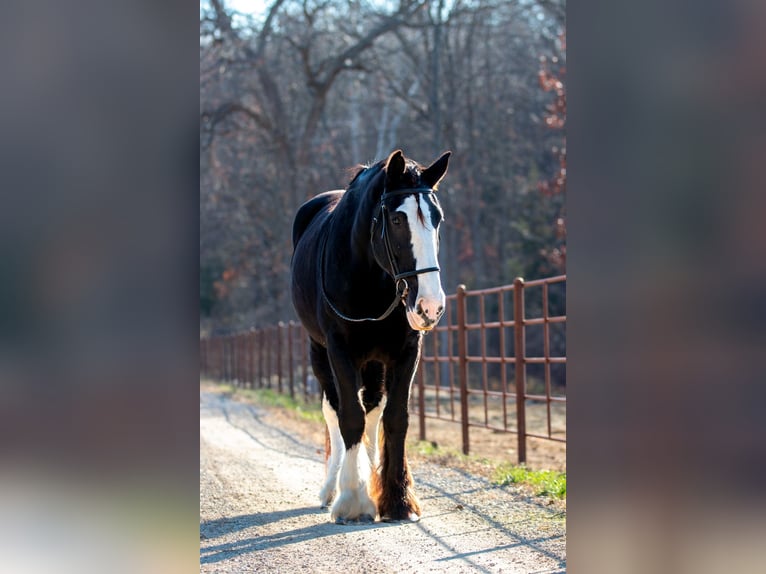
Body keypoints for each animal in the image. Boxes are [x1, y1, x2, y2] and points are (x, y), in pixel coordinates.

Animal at [292, 150, 452, 528]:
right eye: (396, 219)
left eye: (437, 218)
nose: (430, 306)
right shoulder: (339, 350)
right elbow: (350, 416)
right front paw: (353, 499)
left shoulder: (406, 351)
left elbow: (395, 418)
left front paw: (397, 499)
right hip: (319, 353)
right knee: (334, 410)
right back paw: (332, 488)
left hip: (375, 361)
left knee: (374, 409)